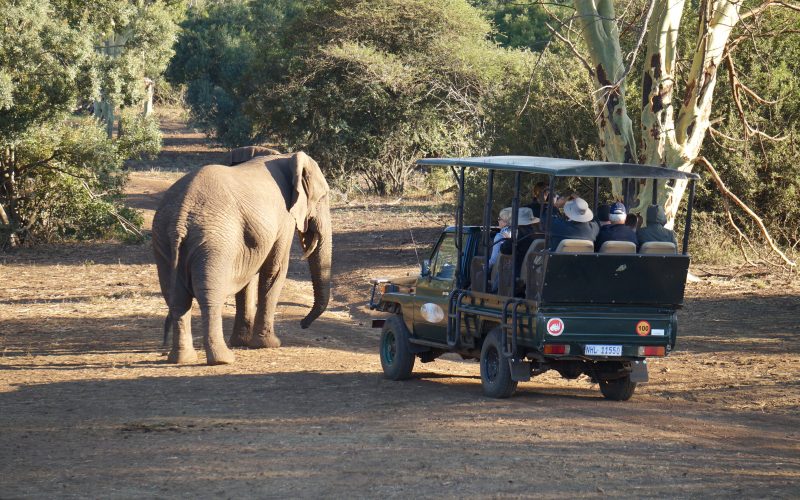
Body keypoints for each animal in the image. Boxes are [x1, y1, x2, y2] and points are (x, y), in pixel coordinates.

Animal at [153, 150, 332, 366]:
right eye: (323, 197)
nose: (303, 324)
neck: (287, 157)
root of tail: (180, 219)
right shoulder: (284, 218)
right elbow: (275, 270)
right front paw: (269, 344)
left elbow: (248, 278)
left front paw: (242, 342)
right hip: (214, 243)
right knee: (210, 296)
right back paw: (223, 359)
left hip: (163, 240)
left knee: (177, 299)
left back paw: (182, 359)